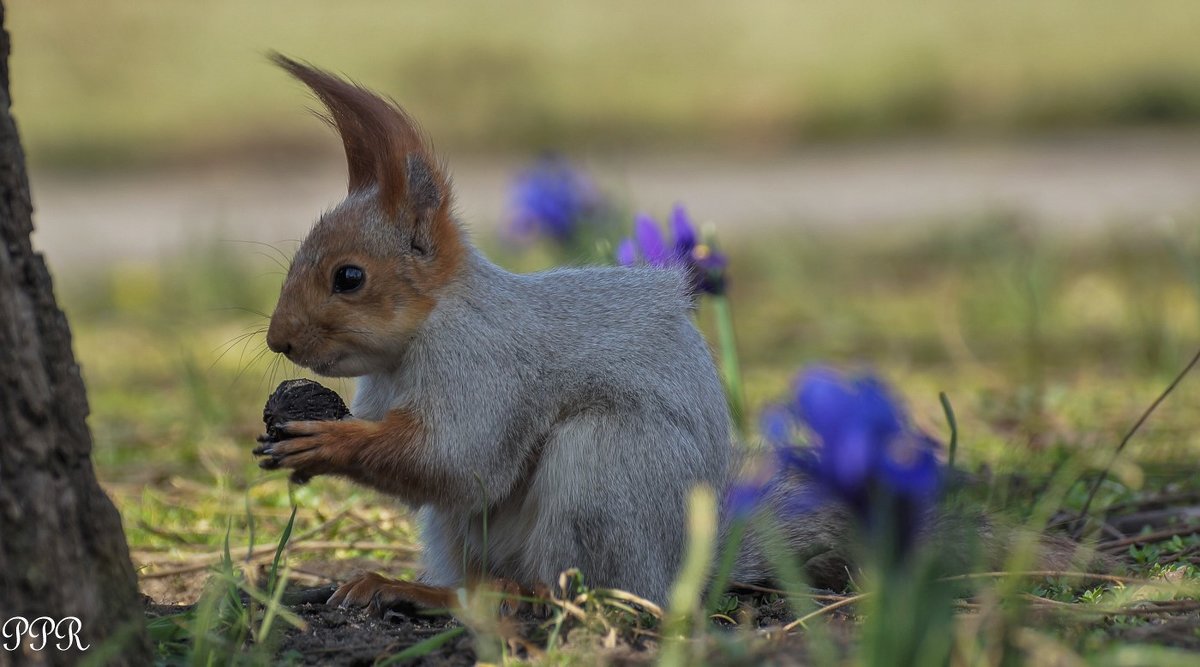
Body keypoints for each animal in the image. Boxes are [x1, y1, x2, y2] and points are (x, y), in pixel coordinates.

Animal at [258, 54, 1099, 611]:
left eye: (348, 277)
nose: (277, 342)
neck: (428, 328)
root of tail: (673, 567)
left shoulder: (487, 364)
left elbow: (459, 457)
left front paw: (326, 442)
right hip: (468, 530)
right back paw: (401, 585)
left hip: (599, 473)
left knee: (559, 588)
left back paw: (483, 597)